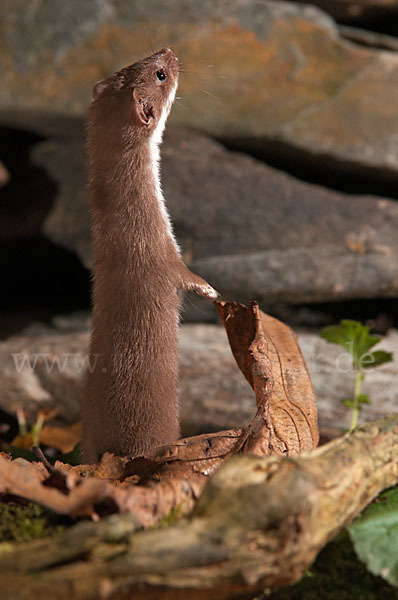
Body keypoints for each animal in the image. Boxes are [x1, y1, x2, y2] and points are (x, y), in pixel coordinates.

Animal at [81, 50, 218, 464]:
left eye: (128, 65)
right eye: (160, 74)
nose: (169, 51)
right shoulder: (159, 248)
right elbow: (183, 275)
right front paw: (210, 290)